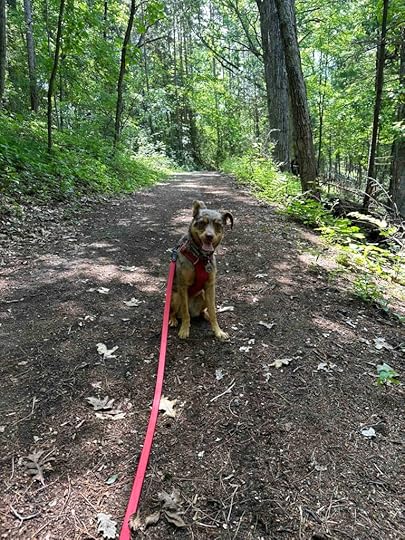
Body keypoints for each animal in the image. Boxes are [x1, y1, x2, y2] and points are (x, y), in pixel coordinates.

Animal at [169, 200, 233, 340]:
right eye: (202, 223)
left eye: (218, 225)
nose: (209, 236)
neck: (201, 258)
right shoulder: (183, 286)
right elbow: (185, 312)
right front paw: (184, 330)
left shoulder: (210, 286)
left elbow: (213, 311)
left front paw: (218, 331)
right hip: (175, 297)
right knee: (176, 312)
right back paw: (173, 320)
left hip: (204, 295)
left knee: (204, 310)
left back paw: (205, 315)